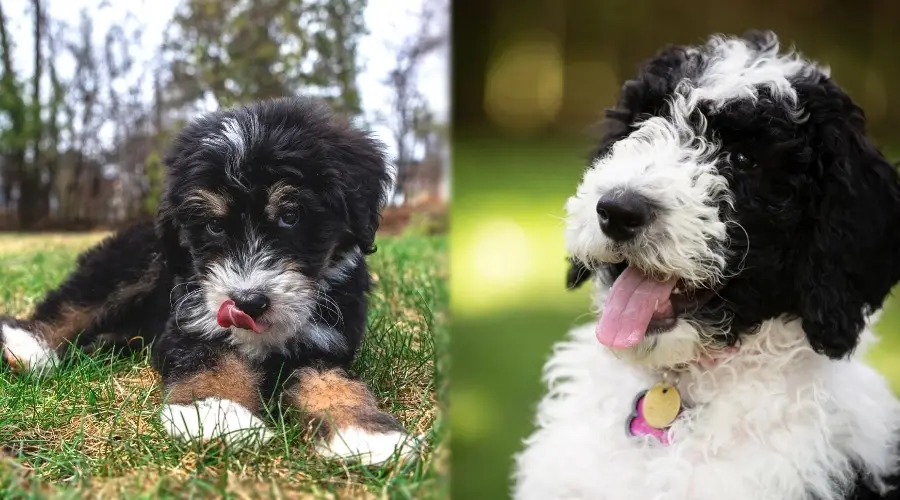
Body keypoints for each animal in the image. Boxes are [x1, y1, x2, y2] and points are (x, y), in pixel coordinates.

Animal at [0, 96, 420, 464]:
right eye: (215, 226)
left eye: (291, 216)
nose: (248, 302)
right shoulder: (191, 320)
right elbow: (212, 359)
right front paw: (217, 413)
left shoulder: (325, 341)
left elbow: (331, 381)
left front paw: (364, 432)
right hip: (135, 262)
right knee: (75, 301)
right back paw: (27, 346)